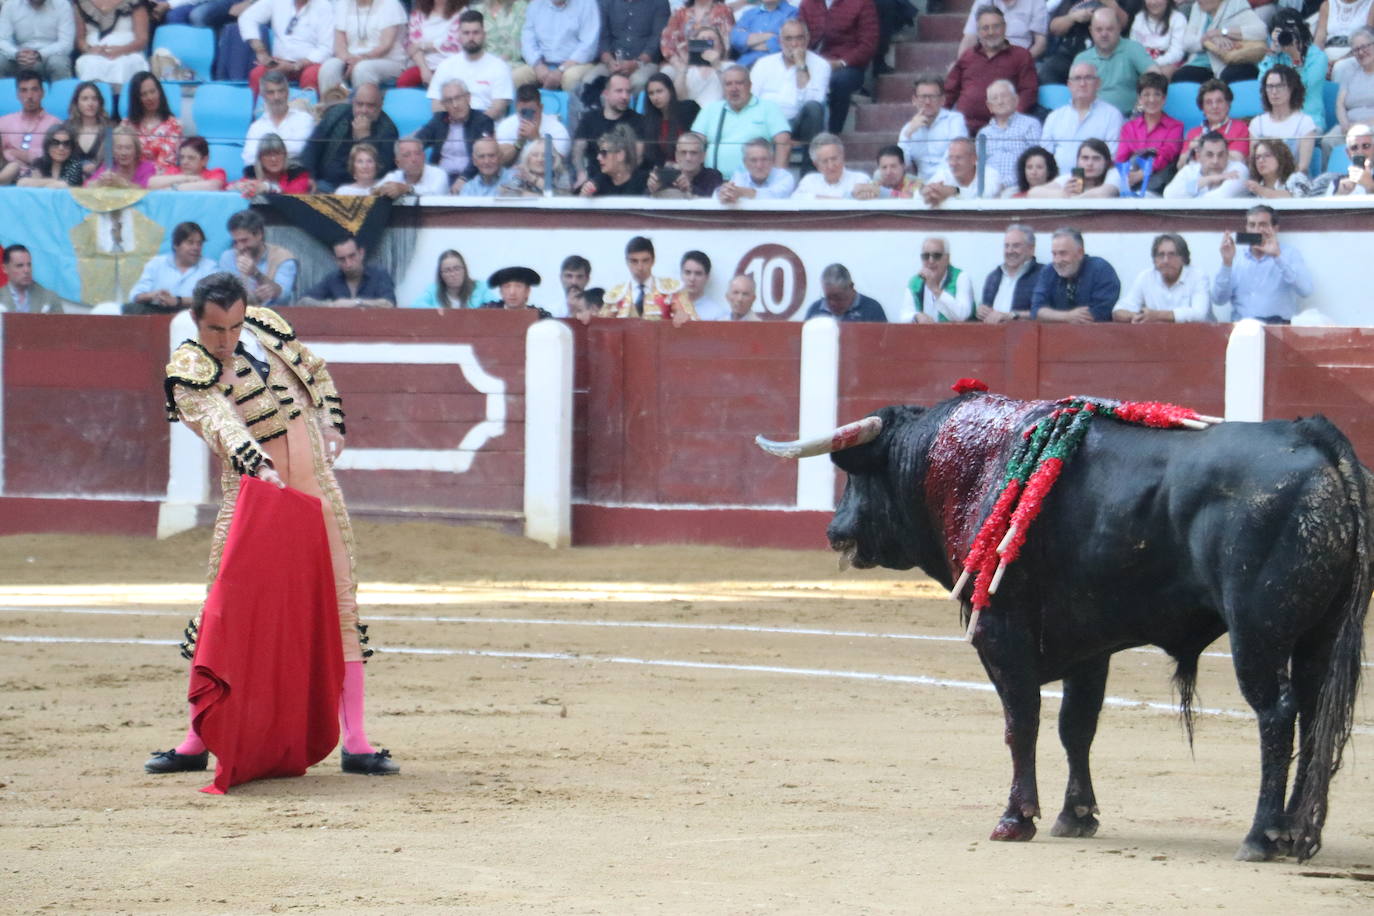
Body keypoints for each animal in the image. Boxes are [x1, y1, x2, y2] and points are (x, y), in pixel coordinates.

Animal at [758, 392, 1368, 862]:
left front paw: (1015, 818)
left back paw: (1261, 836)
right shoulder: (1089, 645)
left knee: (1277, 713)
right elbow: (1077, 725)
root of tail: (1312, 434)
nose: (836, 531)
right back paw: (1296, 832)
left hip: (1257, 635)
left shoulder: (1000, 631)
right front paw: (1076, 815)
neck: (975, 464)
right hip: (1319, 634)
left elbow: (1021, 721)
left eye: (857, 475)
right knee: (1315, 713)